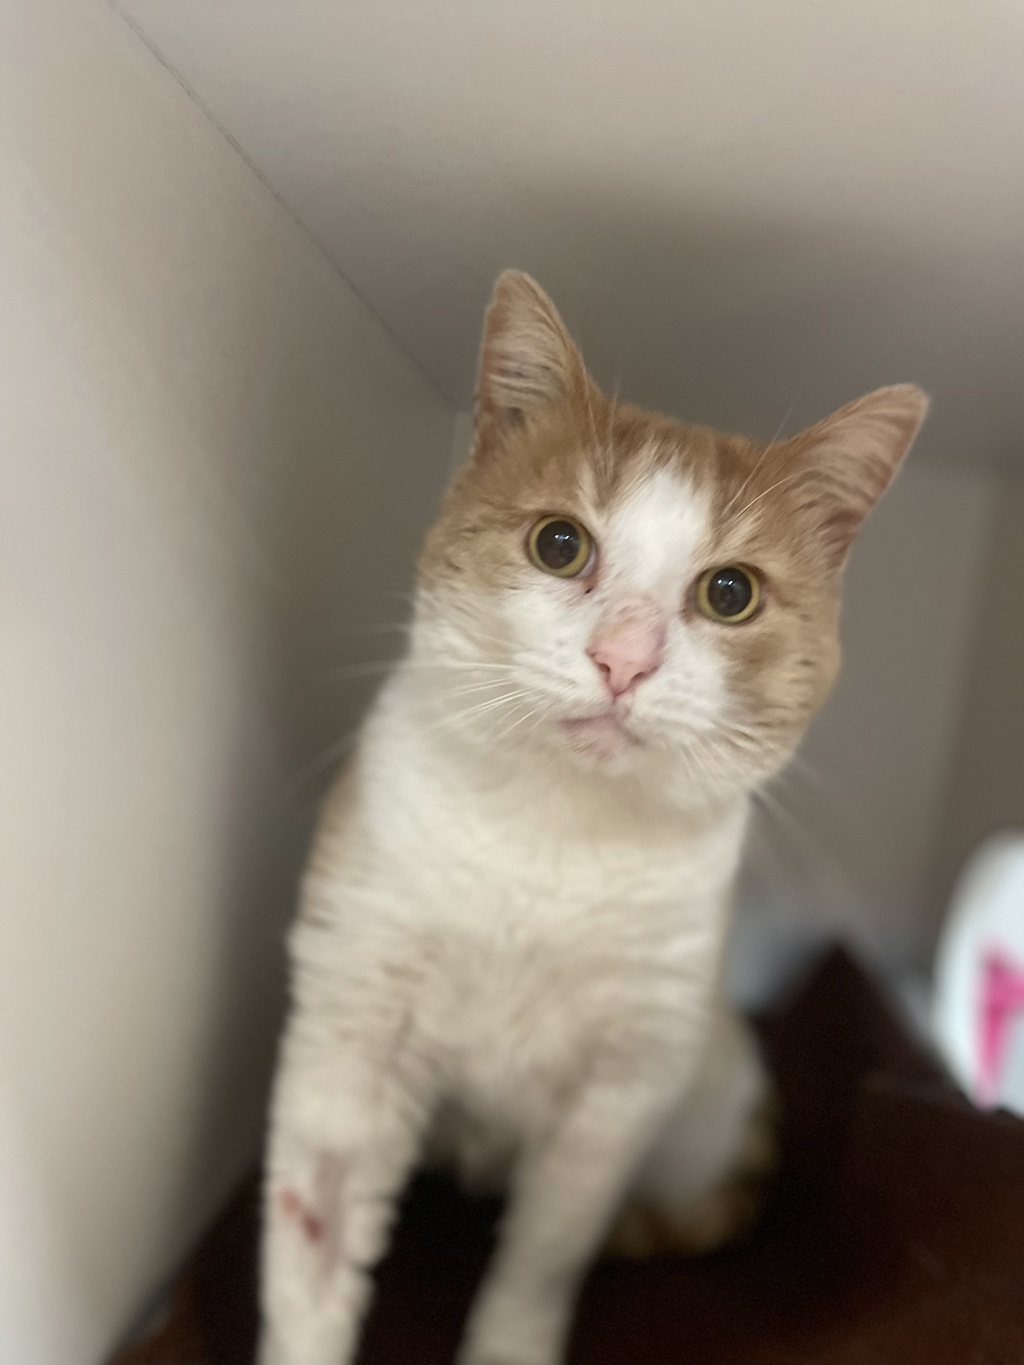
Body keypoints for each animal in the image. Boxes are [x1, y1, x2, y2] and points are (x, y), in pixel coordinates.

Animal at [258, 270, 927, 1365]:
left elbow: (544, 1253)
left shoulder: (619, 1091)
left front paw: (508, 1341)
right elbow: (316, 1236)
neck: (552, 839)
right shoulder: (352, 1015)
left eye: (730, 593)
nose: (624, 657)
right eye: (558, 543)